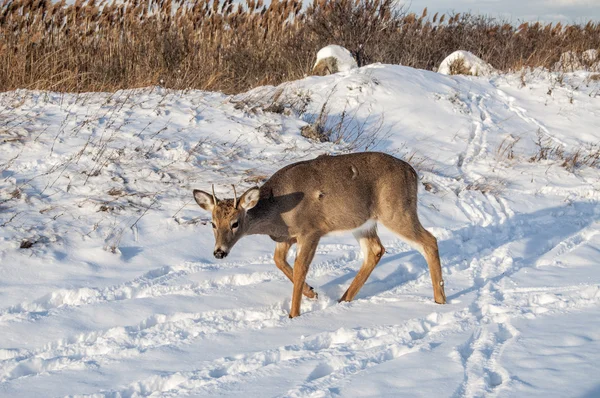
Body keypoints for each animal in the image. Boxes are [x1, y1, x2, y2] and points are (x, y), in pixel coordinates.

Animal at [193, 152, 446, 318]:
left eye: (235, 223)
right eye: (212, 223)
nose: (219, 252)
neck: (277, 212)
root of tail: (413, 173)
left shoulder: (311, 230)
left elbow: (300, 268)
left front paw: (294, 315)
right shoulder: (286, 237)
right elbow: (279, 261)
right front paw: (312, 293)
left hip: (396, 210)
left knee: (429, 241)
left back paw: (440, 300)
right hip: (363, 223)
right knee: (375, 250)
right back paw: (344, 299)